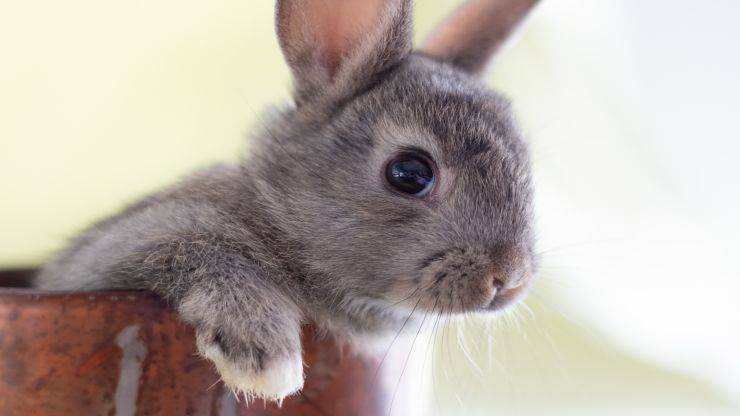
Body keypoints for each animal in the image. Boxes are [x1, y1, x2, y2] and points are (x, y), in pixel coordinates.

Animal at [35, 0, 540, 402]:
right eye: (410, 173)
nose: (508, 279)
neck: (280, 221)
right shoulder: (124, 250)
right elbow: (201, 248)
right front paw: (266, 357)